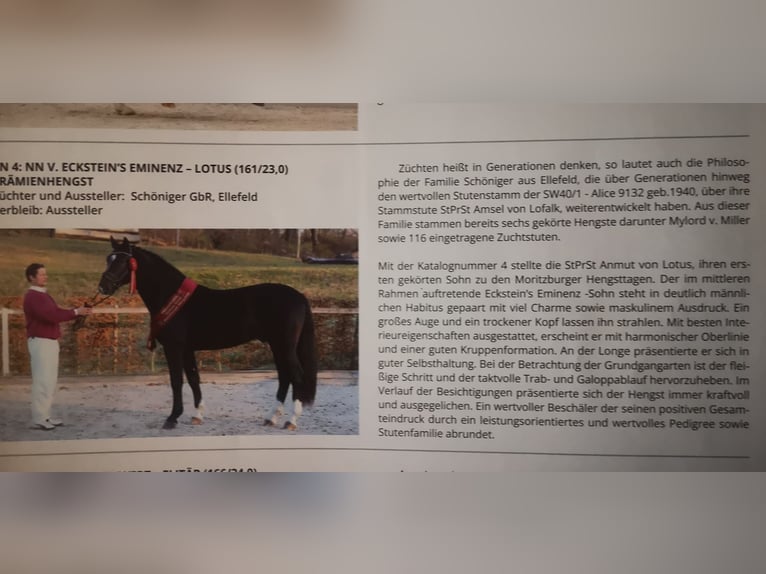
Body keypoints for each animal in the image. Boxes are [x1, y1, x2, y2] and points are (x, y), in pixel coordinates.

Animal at [97, 237, 317, 431]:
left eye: (123, 261)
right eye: (108, 259)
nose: (103, 286)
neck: (172, 297)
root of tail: (299, 296)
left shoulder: (174, 348)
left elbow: (176, 381)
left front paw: (172, 418)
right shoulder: (187, 349)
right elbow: (194, 378)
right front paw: (197, 415)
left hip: (284, 345)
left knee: (296, 376)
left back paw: (291, 421)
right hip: (276, 345)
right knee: (284, 376)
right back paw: (271, 418)